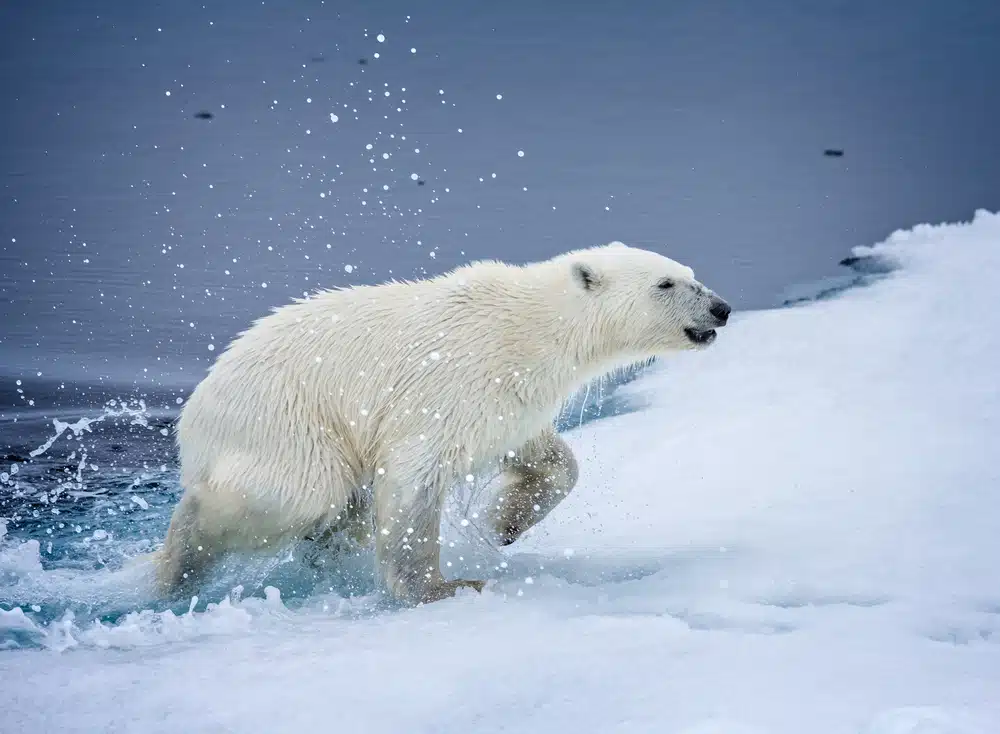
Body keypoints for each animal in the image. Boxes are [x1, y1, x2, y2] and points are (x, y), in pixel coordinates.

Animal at [158, 244, 736, 608]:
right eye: (666, 282)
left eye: (691, 272)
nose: (722, 308)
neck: (533, 327)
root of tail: (194, 420)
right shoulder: (450, 382)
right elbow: (414, 479)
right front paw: (444, 588)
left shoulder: (504, 399)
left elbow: (548, 458)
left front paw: (502, 523)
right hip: (285, 425)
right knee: (289, 494)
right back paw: (171, 565)